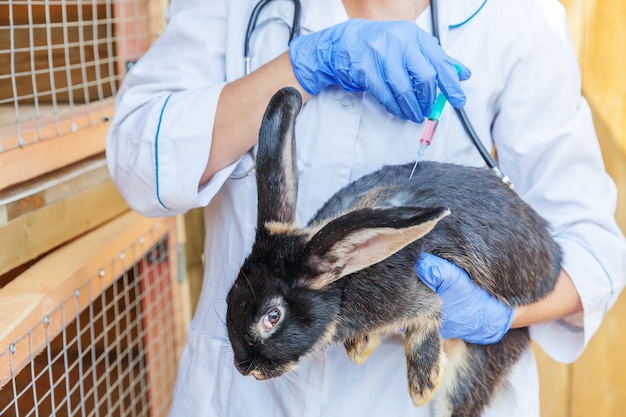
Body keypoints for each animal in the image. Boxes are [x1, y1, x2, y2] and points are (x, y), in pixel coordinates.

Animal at [225, 86, 560, 414]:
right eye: (230, 296)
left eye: (273, 316)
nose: (244, 368)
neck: (344, 281)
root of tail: (553, 256)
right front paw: (360, 348)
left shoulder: (421, 296)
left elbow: (427, 318)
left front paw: (422, 386)